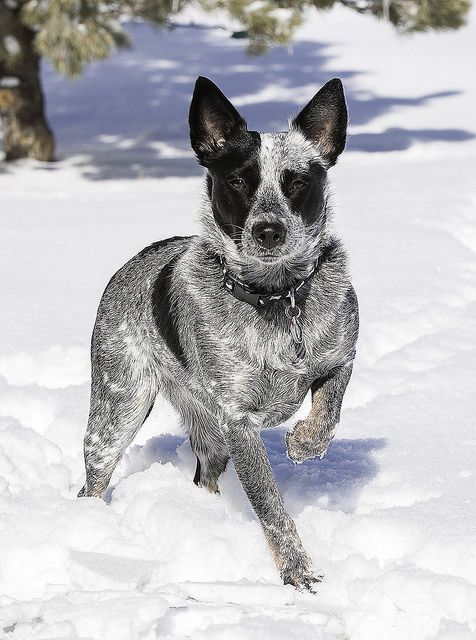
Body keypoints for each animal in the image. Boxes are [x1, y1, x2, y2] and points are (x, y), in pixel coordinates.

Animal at [80, 76, 358, 592]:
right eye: (237, 182)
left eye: (297, 182)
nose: (269, 230)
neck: (277, 298)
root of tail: (132, 261)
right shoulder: (239, 421)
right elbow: (270, 506)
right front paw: (298, 573)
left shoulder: (341, 358)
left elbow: (328, 413)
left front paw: (303, 442)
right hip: (117, 411)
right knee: (93, 479)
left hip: (209, 436)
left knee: (203, 477)